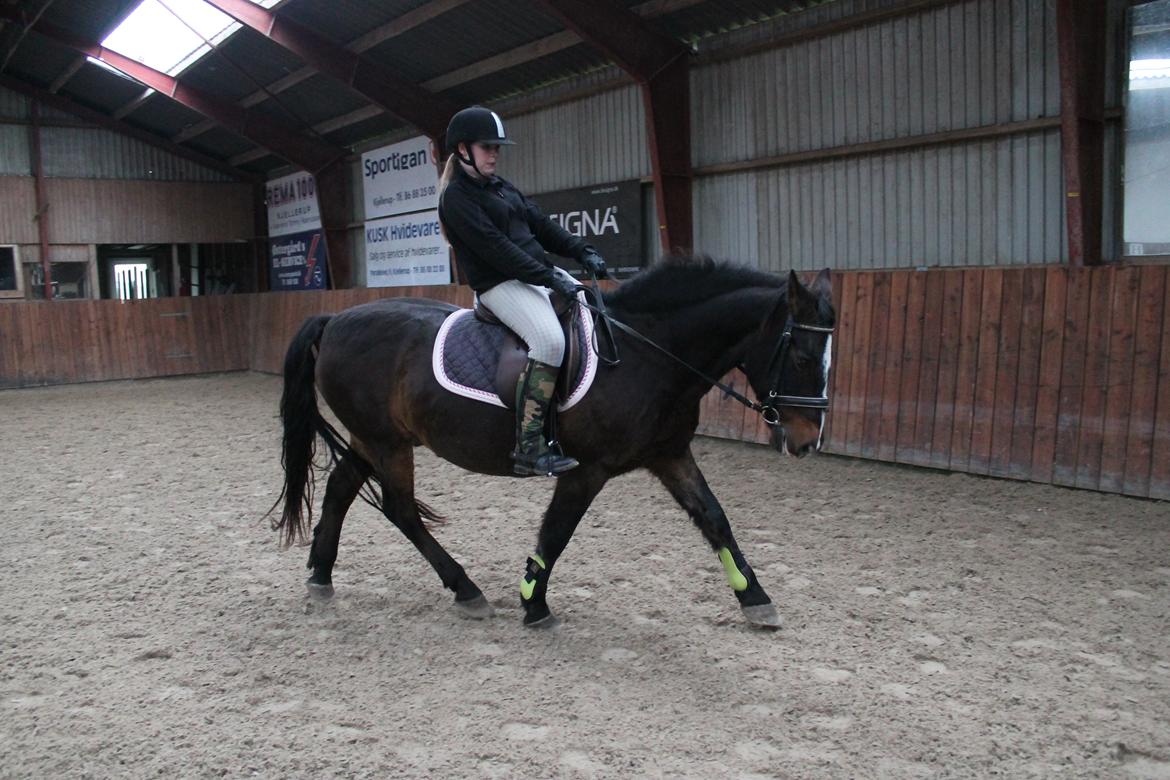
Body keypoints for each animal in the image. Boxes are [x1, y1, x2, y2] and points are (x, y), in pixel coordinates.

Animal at [272, 256, 835, 629]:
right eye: (804, 357)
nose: (808, 442)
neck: (648, 353)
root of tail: (335, 318)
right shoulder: (588, 468)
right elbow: (558, 531)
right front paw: (533, 602)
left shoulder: (669, 453)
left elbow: (714, 517)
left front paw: (756, 598)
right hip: (387, 441)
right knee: (400, 508)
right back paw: (465, 589)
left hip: (372, 437)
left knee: (342, 488)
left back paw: (321, 576)